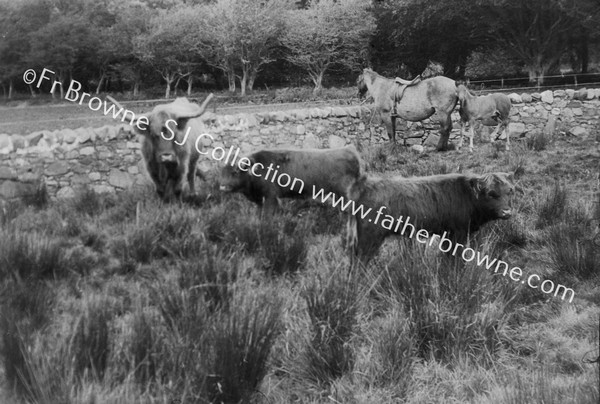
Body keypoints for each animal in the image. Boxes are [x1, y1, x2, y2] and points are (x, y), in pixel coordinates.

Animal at [346, 171, 516, 264]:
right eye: (491, 194)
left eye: (510, 191)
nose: (506, 212)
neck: (468, 196)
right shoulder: (457, 233)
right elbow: (454, 256)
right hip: (369, 238)